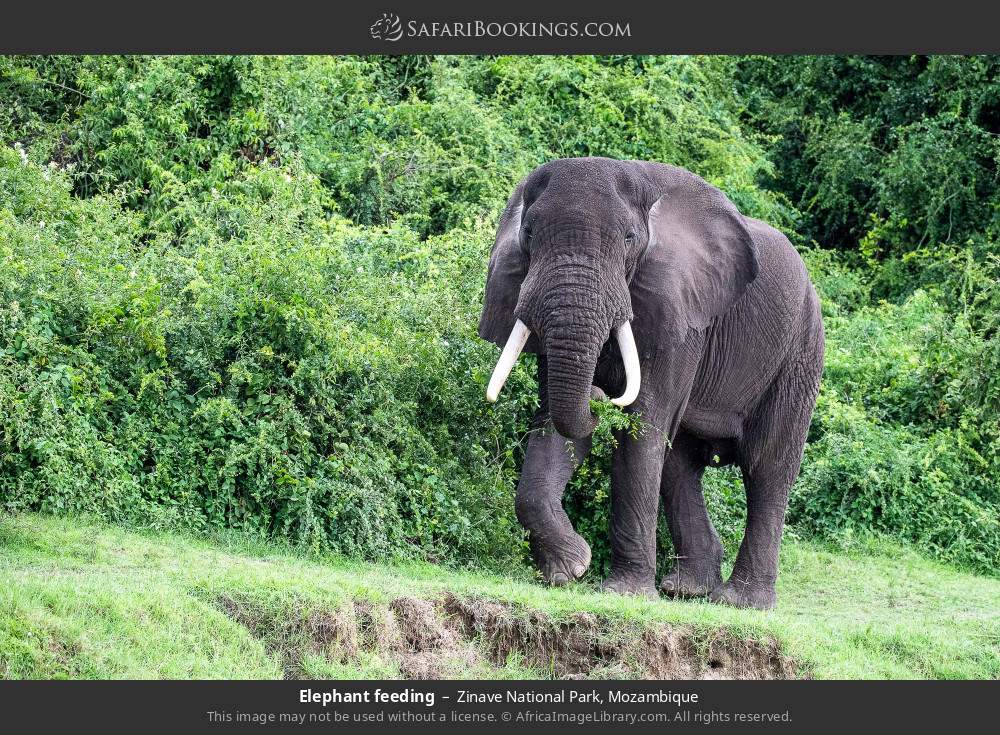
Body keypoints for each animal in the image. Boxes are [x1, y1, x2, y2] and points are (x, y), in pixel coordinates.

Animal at [479, 157, 824, 610]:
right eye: (530, 235)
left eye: (628, 240)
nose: (599, 395)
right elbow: (555, 422)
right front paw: (569, 570)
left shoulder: (680, 314)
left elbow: (642, 426)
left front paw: (623, 594)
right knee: (681, 466)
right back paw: (688, 589)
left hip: (800, 351)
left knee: (766, 466)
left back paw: (740, 602)